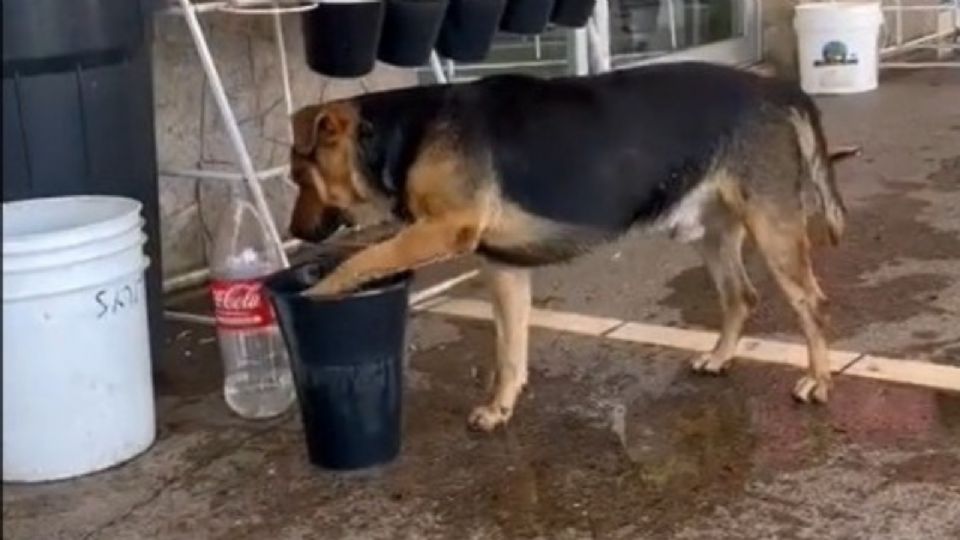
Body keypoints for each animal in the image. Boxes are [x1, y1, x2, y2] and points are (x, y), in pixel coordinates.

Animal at [288, 61, 860, 432]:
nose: (298, 233)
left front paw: (320, 293)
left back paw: (819, 380)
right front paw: (501, 406)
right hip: (716, 233)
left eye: (298, 177)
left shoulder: (443, 228)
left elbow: (363, 258)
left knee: (811, 304)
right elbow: (509, 351)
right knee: (741, 297)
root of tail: (774, 87)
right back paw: (720, 358)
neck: (399, 133)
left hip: (773, 230)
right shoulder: (503, 269)